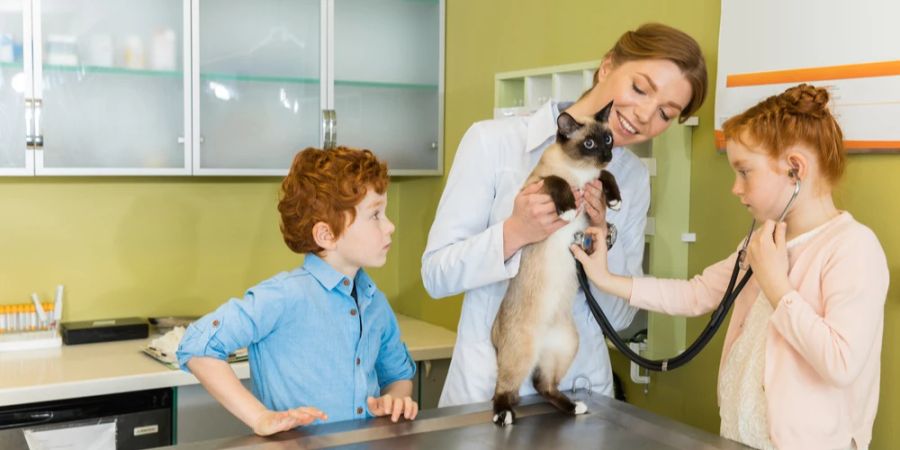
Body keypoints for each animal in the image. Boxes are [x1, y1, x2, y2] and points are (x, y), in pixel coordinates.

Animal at [488, 101, 624, 426]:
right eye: (589, 144)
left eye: (608, 139)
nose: (607, 155)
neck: (580, 172)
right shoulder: (537, 187)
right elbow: (556, 181)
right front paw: (568, 209)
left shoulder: (594, 181)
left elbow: (605, 177)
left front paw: (613, 199)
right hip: (520, 354)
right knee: (505, 388)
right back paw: (504, 415)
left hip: (565, 346)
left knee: (543, 385)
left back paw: (574, 407)